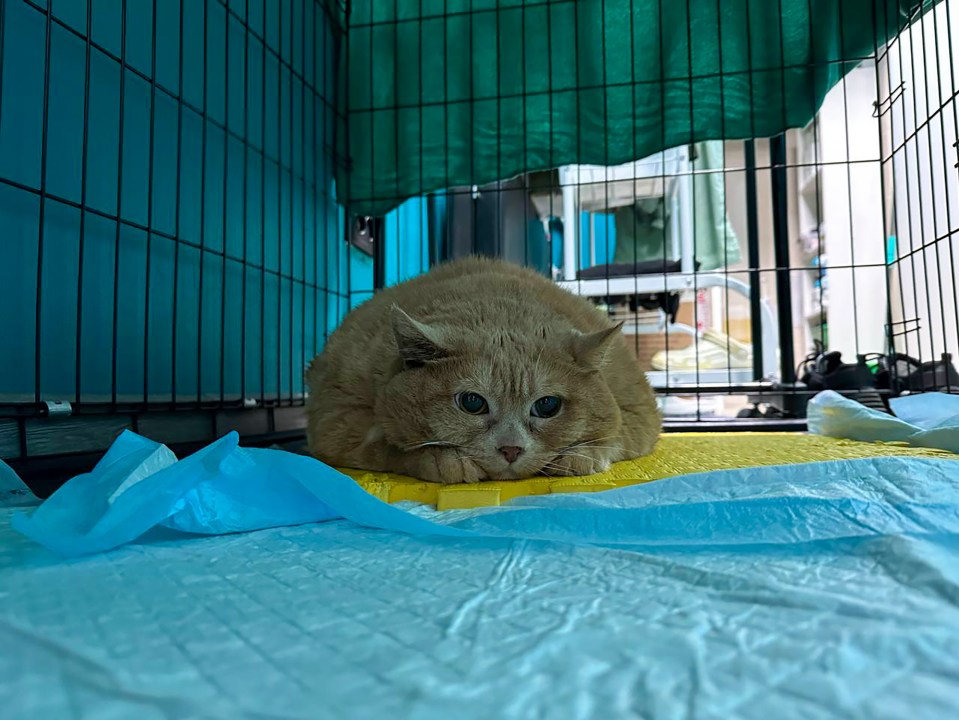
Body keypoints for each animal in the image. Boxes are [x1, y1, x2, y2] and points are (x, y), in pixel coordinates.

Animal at [308, 256, 660, 486]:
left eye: (547, 406)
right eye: (472, 403)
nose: (511, 449)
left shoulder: (639, 412)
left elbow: (612, 437)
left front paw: (579, 456)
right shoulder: (338, 422)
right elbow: (389, 446)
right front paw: (444, 460)